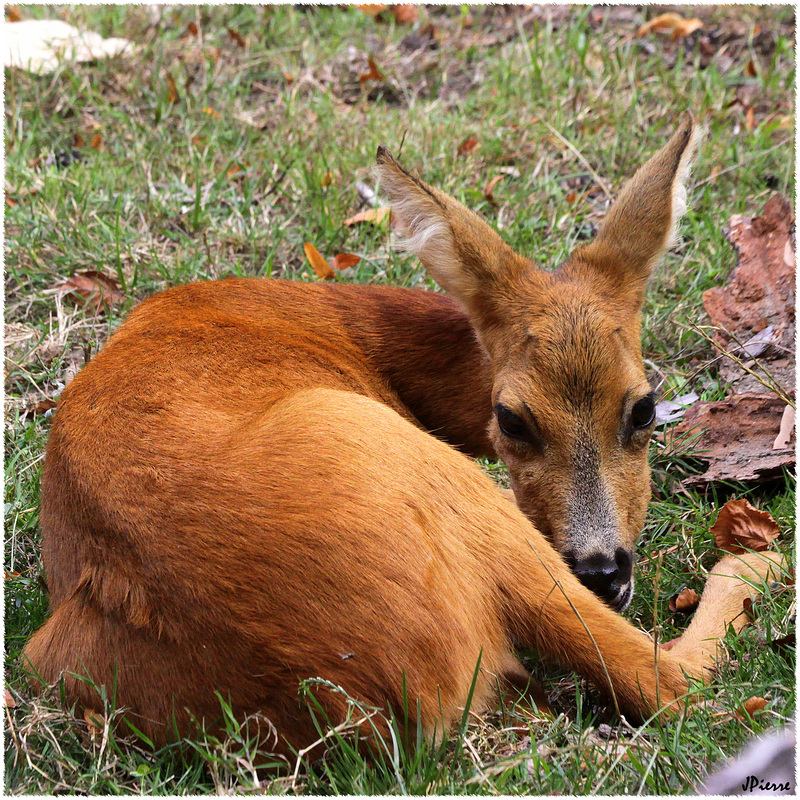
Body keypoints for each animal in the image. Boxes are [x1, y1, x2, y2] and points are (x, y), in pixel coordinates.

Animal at [23, 114, 780, 756]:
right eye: (512, 419)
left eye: (643, 409)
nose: (603, 571)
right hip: (431, 475)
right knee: (669, 682)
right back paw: (755, 562)